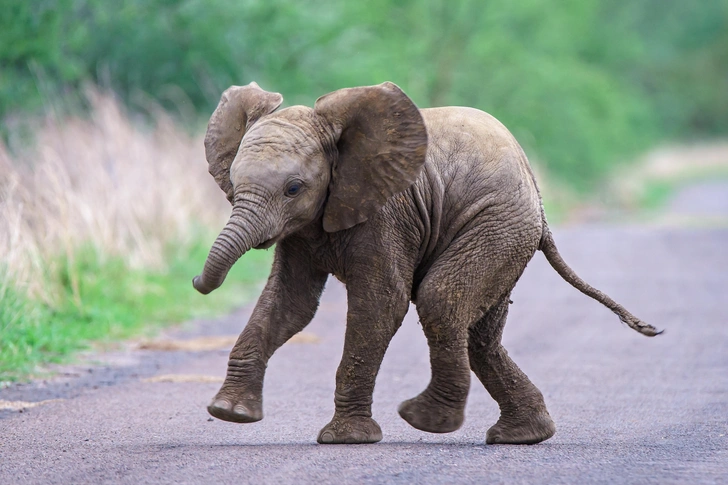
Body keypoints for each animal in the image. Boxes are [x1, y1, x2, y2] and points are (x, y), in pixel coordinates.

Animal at [193, 81, 660, 444]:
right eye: (232, 181)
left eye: (293, 188)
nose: (197, 281)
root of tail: (539, 198)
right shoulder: (304, 228)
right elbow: (290, 305)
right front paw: (230, 413)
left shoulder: (387, 213)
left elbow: (382, 302)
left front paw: (345, 439)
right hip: (508, 236)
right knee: (478, 337)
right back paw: (523, 435)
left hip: (498, 226)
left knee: (441, 300)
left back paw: (426, 421)